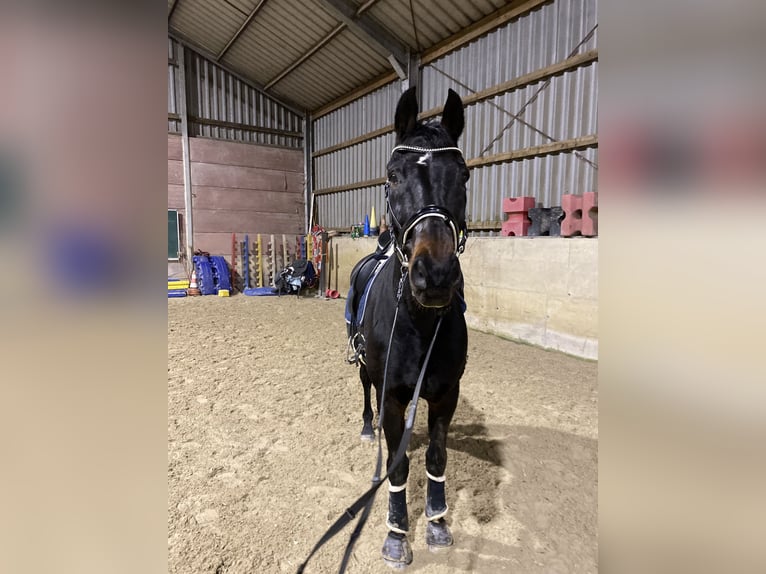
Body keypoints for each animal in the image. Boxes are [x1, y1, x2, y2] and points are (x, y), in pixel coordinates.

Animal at [345, 86, 470, 567]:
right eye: (393, 176)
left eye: (464, 175)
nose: (434, 276)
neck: (418, 322)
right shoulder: (394, 393)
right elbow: (397, 466)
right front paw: (397, 534)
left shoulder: (446, 394)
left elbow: (436, 458)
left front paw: (437, 522)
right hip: (365, 368)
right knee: (367, 393)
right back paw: (369, 426)